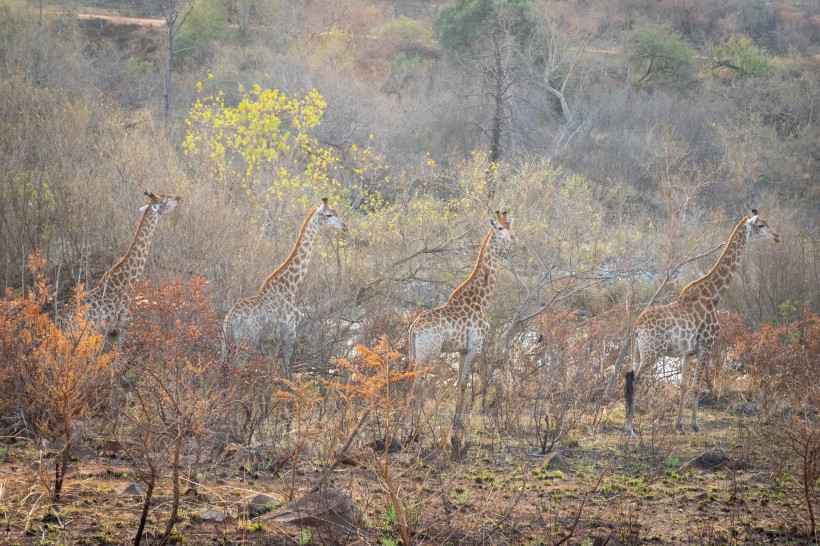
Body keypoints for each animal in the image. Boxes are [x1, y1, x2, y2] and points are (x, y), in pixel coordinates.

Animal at [221, 197, 346, 378]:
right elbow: (288, 373)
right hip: (245, 344)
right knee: (235, 371)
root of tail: (230, 319)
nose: (345, 226)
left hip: (225, 343)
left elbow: (271, 371)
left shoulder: (271, 342)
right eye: (329, 215)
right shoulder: (289, 335)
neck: (290, 286)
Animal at [408, 206, 516, 452]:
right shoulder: (475, 345)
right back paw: (413, 430)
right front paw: (458, 427)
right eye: (500, 228)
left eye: (512, 226)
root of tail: (414, 328)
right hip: (428, 353)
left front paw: (456, 425)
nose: (514, 240)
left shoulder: (461, 350)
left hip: (415, 352)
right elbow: (466, 384)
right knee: (417, 383)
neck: (481, 299)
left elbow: (459, 384)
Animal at [628, 210, 780, 436]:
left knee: (630, 380)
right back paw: (629, 429)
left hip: (638, 353)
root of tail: (637, 327)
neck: (714, 296)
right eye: (761, 225)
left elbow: (683, 385)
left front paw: (680, 427)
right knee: (637, 382)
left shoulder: (687, 352)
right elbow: (696, 387)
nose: (777, 236)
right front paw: (696, 426)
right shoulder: (705, 346)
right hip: (652, 353)